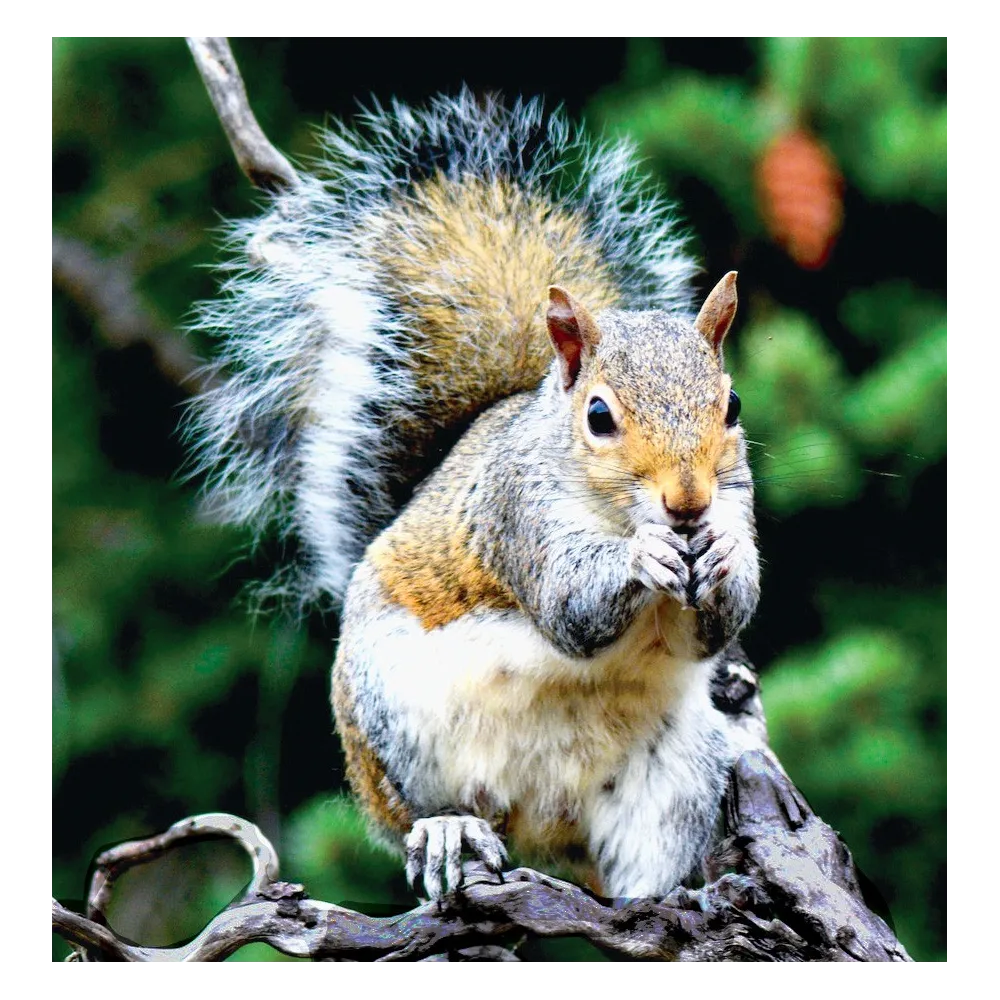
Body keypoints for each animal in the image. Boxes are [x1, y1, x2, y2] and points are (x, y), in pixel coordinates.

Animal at [186, 90, 761, 900]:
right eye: (598, 416)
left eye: (732, 406)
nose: (687, 505)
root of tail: (546, 826)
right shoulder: (514, 515)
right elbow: (569, 606)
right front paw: (640, 555)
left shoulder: (735, 502)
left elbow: (710, 631)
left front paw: (725, 556)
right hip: (389, 721)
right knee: (415, 813)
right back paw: (448, 830)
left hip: (674, 780)